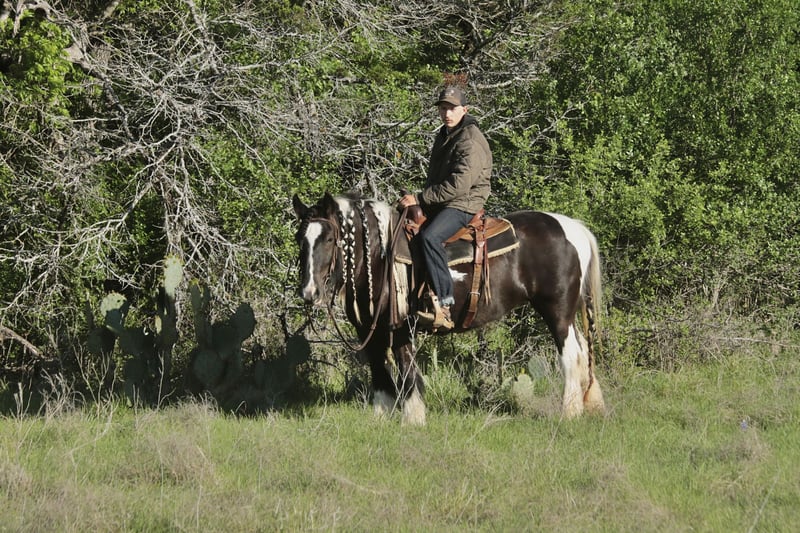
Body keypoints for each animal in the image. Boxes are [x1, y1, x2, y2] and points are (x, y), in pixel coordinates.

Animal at [292, 192, 605, 425]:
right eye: (300, 239)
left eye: (329, 239)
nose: (309, 292)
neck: (380, 257)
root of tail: (573, 228)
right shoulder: (370, 330)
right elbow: (379, 372)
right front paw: (381, 418)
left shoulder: (401, 327)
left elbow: (407, 370)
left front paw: (413, 418)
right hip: (568, 315)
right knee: (582, 353)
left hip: (557, 311)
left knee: (570, 356)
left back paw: (568, 412)